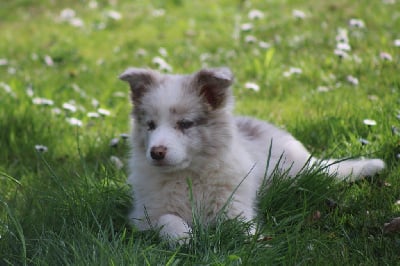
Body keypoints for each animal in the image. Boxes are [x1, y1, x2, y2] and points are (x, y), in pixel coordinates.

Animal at [119, 67, 384, 242]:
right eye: (150, 125)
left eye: (185, 124)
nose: (156, 152)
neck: (188, 176)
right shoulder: (143, 215)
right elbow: (167, 219)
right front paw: (183, 236)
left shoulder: (235, 205)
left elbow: (242, 227)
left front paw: (255, 243)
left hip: (296, 171)